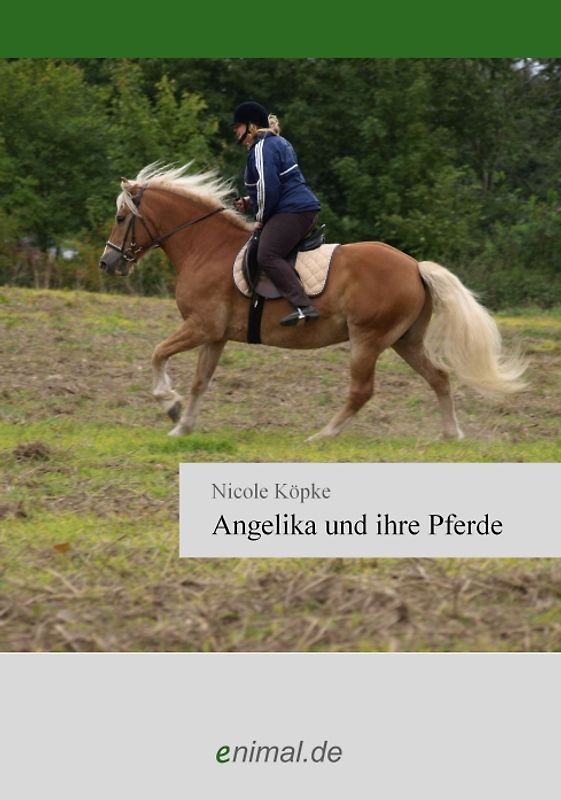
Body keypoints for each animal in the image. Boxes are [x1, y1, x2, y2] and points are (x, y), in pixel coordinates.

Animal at [99, 163, 526, 440]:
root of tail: (414, 266)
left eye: (120, 218)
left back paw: (323, 435)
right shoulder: (215, 334)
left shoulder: (200, 326)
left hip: (367, 339)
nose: (107, 263)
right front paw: (182, 426)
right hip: (405, 341)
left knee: (362, 391)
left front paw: (167, 403)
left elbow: (157, 354)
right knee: (438, 376)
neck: (206, 247)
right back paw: (451, 435)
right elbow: (200, 381)